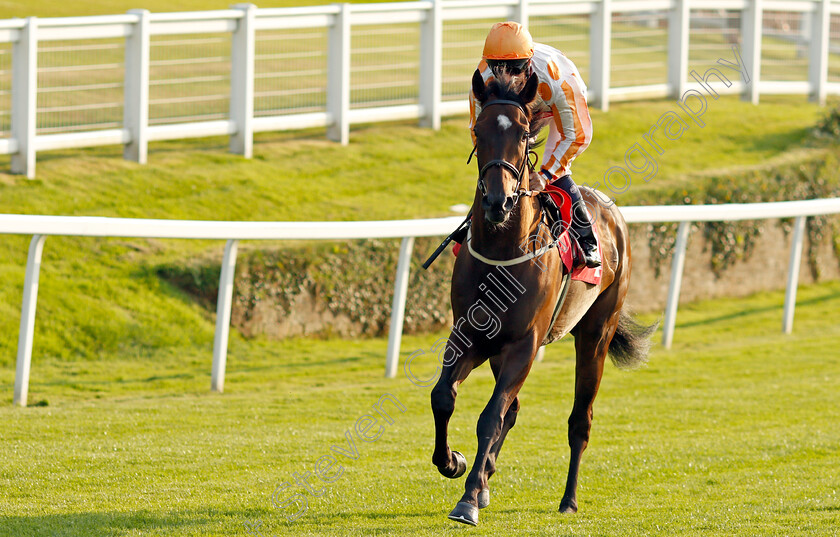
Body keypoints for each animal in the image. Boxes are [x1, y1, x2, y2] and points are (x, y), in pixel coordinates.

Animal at [434, 70, 656, 524]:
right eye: (478, 130)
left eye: (523, 134)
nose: (497, 201)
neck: (503, 249)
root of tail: (613, 213)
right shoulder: (471, 336)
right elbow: (444, 397)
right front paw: (455, 463)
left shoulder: (524, 343)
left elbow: (490, 416)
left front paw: (468, 499)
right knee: (514, 410)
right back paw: (486, 477)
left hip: (596, 334)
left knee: (579, 421)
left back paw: (568, 499)